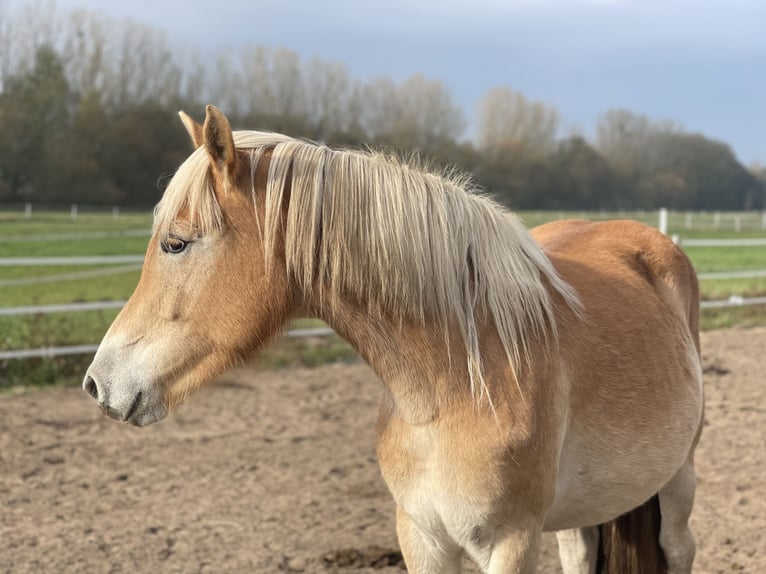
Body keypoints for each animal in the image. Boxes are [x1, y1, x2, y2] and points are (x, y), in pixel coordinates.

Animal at [82, 106, 704, 572]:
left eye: (176, 243)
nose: (97, 383)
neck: (458, 382)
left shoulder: (512, 543)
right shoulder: (420, 537)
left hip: (679, 477)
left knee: (679, 548)